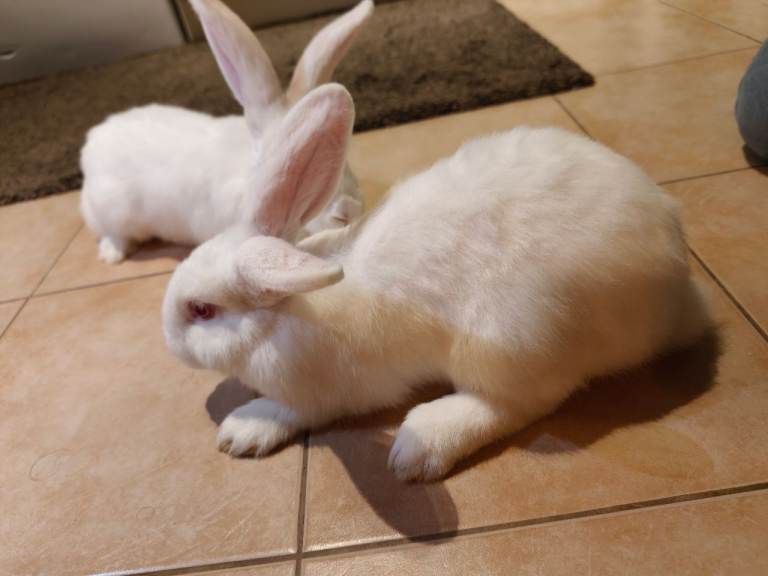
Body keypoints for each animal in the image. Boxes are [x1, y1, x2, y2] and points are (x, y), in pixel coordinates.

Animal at [80, 0, 373, 264]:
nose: (348, 211)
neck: (247, 176)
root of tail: (93, 140)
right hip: (113, 211)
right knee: (113, 233)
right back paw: (112, 254)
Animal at [162, 83, 713, 482]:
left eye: (202, 310)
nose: (168, 341)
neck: (286, 312)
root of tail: (677, 289)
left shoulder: (328, 392)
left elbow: (291, 409)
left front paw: (241, 429)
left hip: (513, 340)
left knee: (526, 401)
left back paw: (420, 444)